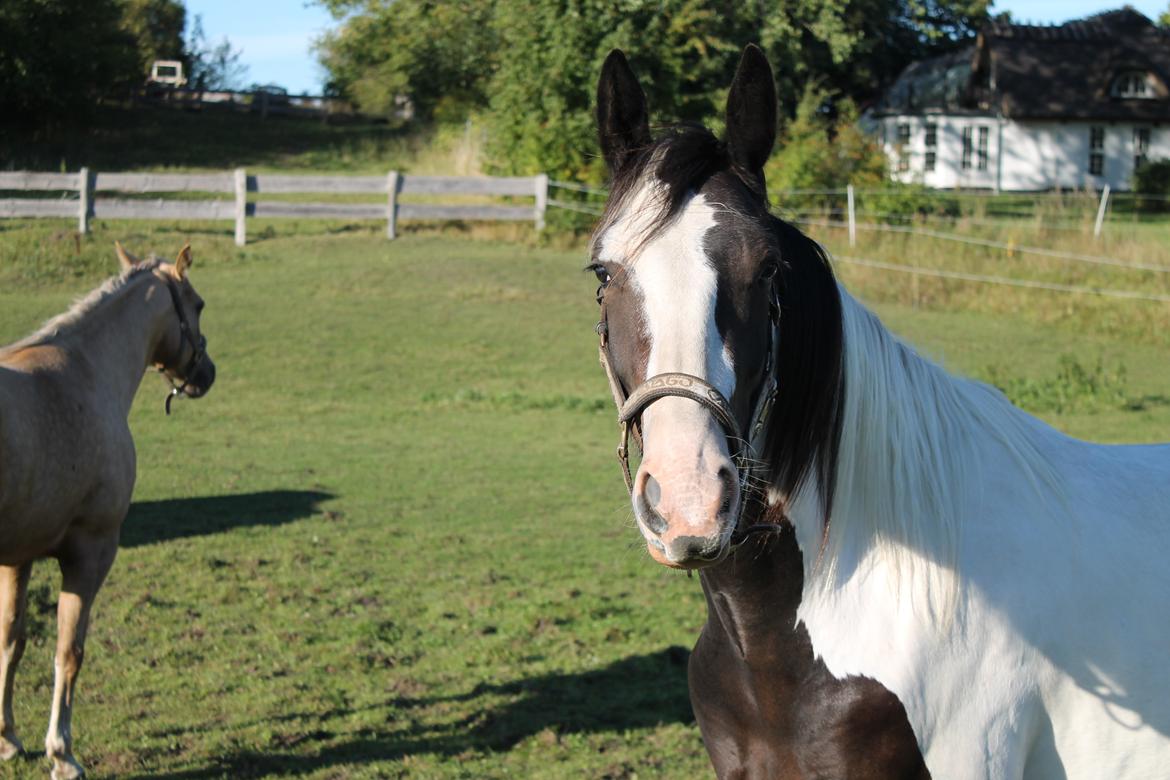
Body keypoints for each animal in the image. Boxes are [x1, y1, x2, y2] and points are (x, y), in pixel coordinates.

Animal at [0, 242, 215, 776]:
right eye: (198, 304)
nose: (207, 374)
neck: (86, 373)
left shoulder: (18, 557)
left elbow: (11, 641)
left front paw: (8, 737)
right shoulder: (91, 554)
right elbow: (69, 651)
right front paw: (62, 753)